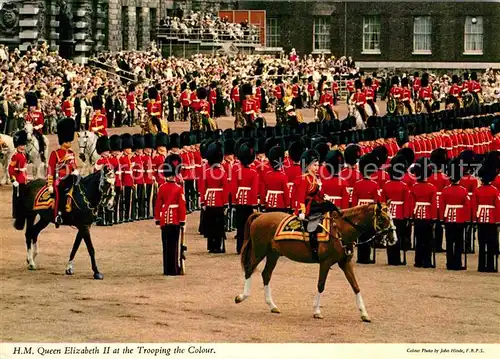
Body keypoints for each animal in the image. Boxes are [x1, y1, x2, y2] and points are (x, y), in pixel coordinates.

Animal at [235, 204, 398, 322]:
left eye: (391, 217)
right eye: (382, 218)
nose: (394, 239)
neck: (339, 230)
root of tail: (261, 215)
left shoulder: (345, 263)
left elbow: (355, 286)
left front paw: (364, 313)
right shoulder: (325, 263)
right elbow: (321, 285)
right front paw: (317, 311)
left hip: (273, 254)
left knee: (266, 274)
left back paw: (272, 305)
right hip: (259, 252)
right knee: (249, 269)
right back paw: (242, 296)